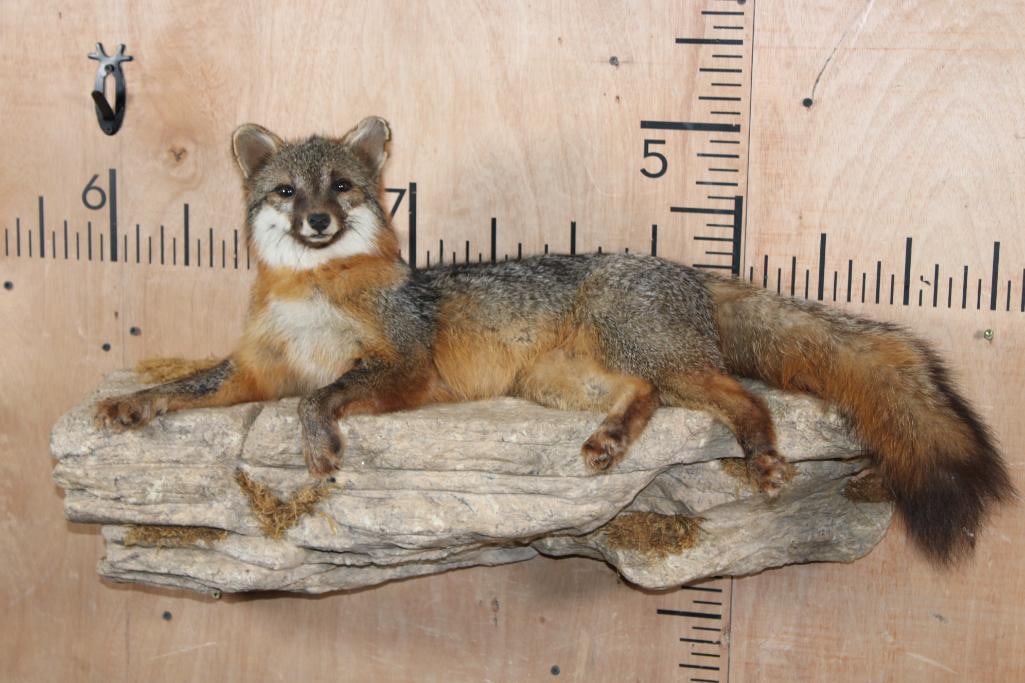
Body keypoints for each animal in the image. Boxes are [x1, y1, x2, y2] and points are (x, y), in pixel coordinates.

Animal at [95, 116, 1013, 564]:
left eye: (342, 188)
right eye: (287, 192)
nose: (317, 221)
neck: (314, 295)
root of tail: (685, 268)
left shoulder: (404, 367)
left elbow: (321, 396)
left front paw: (318, 443)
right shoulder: (257, 372)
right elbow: (191, 385)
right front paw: (132, 402)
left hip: (647, 354)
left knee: (741, 397)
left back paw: (758, 454)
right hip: (571, 380)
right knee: (644, 400)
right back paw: (609, 440)